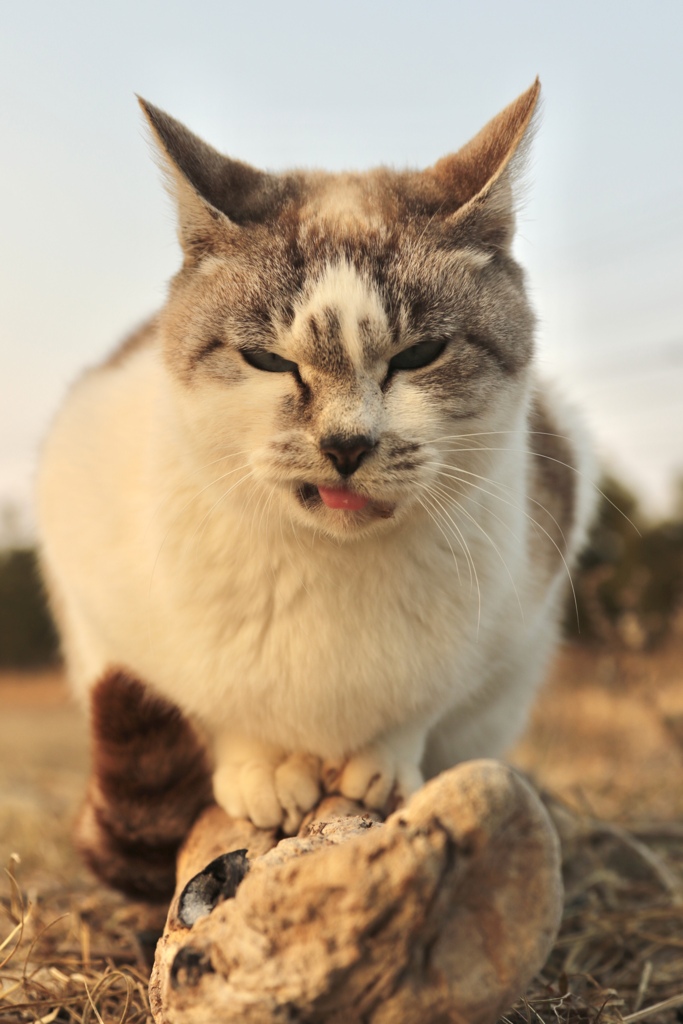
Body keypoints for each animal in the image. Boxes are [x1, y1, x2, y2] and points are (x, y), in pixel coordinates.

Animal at [36, 79, 598, 897]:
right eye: (268, 360)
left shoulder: (513, 619)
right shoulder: (97, 599)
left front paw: (381, 766)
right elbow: (217, 710)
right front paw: (263, 771)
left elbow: (420, 705)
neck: (331, 566)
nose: (345, 445)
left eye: (421, 355)